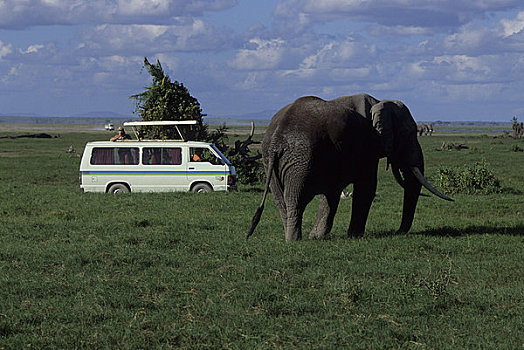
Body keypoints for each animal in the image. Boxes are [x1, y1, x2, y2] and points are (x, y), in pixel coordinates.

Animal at [248, 93, 452, 241]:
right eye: (408, 133)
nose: (398, 232)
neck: (379, 102)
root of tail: (276, 140)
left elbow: (332, 194)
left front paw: (317, 236)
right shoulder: (366, 145)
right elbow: (367, 188)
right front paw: (354, 235)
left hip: (270, 160)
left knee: (281, 200)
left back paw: (291, 238)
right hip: (300, 159)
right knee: (295, 199)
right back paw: (294, 240)